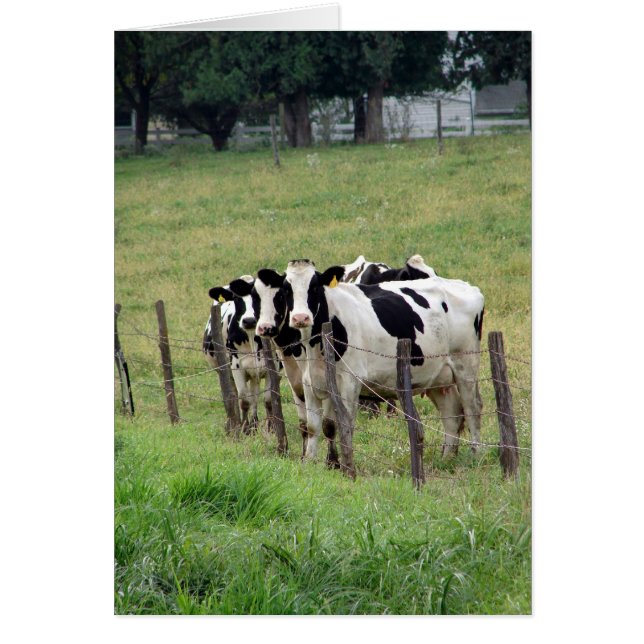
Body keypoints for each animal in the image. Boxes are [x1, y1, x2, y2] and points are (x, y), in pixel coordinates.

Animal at [202, 275, 273, 434]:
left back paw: (254, 424)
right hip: (225, 371)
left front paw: (271, 428)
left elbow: (268, 400)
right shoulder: (236, 367)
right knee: (232, 396)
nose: (249, 320)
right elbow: (244, 400)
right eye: (235, 298)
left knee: (254, 396)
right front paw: (244, 428)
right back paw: (234, 424)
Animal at [253, 259, 484, 463]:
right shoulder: (309, 383)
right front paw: (309, 462)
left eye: (315, 287)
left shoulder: (349, 382)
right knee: (452, 413)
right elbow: (313, 426)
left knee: (472, 409)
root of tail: (467, 286)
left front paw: (343, 466)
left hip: (466, 367)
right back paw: (447, 458)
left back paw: (475, 455)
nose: (300, 318)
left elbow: (344, 425)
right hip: (438, 377)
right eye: (286, 290)